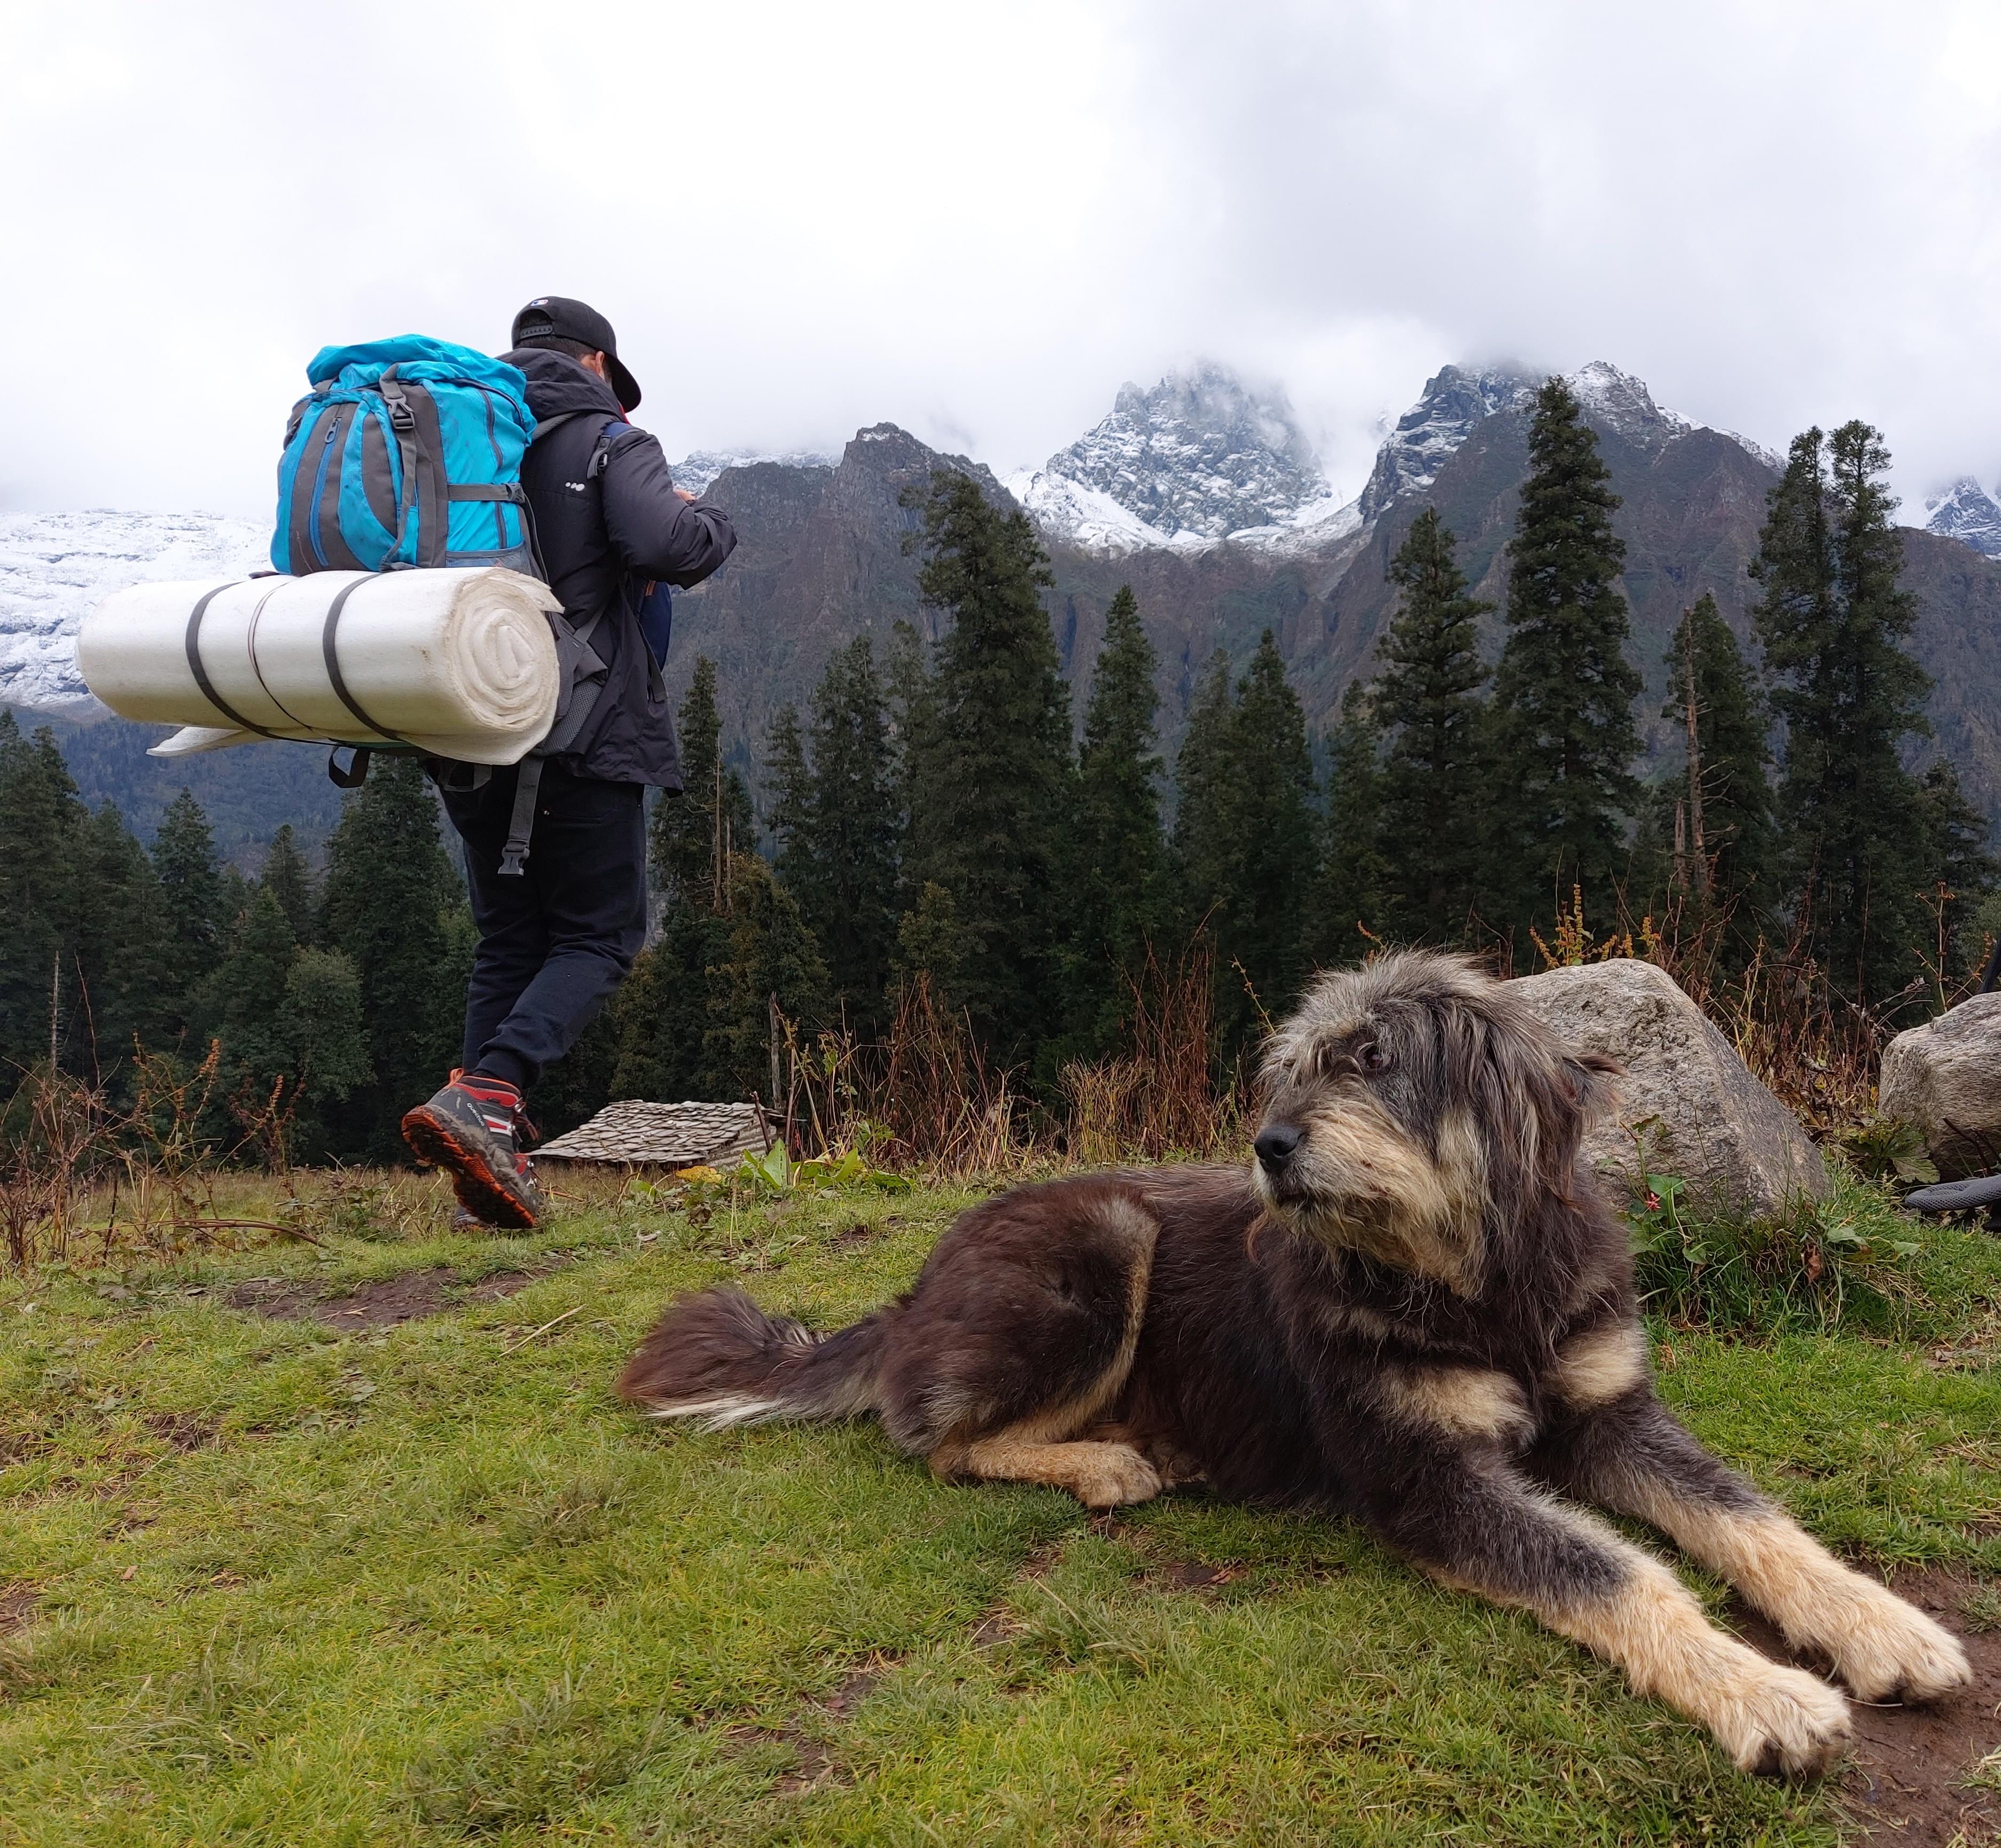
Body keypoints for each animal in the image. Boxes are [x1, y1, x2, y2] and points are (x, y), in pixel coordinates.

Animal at [620, 952, 1969, 1776]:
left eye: (1372, 1060)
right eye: (1294, 1068)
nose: (1267, 1146)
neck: (1475, 1283)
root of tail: (912, 1289)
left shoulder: (1610, 1411)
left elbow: (1751, 1517)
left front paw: (1881, 1622)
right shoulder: (1427, 1475)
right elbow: (1616, 1569)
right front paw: (1765, 1693)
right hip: (1106, 1240)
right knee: (940, 1441)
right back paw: (1109, 1460)